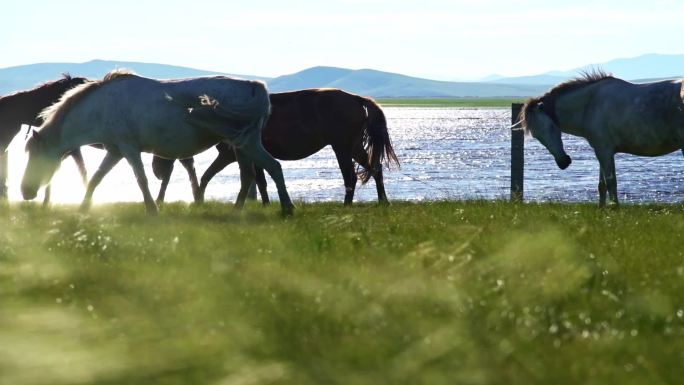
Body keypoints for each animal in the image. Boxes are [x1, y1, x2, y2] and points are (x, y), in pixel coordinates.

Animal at [20, 69, 294, 216]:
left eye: (34, 155)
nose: (25, 192)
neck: (101, 106)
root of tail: (254, 87)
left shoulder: (129, 149)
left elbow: (141, 179)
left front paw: (152, 210)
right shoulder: (114, 151)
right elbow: (97, 178)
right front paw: (83, 208)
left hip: (247, 144)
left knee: (272, 167)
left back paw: (287, 208)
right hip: (242, 145)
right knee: (250, 175)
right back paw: (239, 211)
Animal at [152, 89, 398, 206]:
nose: (157, 170)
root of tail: (357, 99)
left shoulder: (231, 155)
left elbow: (207, 176)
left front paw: (199, 198)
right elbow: (260, 182)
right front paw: (266, 203)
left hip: (342, 148)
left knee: (350, 177)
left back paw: (347, 205)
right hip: (353, 147)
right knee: (375, 169)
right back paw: (383, 201)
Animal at [520, 69, 684, 207]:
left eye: (552, 127)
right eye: (537, 136)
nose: (563, 162)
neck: (590, 104)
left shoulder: (604, 150)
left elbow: (611, 182)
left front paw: (615, 209)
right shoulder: (601, 150)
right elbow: (602, 185)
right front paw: (602, 210)